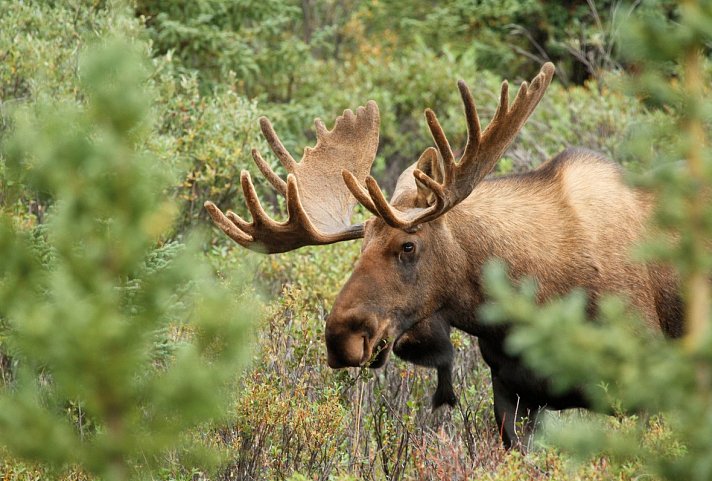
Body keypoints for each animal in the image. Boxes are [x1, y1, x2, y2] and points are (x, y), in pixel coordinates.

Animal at [204, 63, 684, 446]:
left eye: (408, 245)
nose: (341, 336)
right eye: (360, 246)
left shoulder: (644, 384)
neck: (528, 300)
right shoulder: (513, 393)